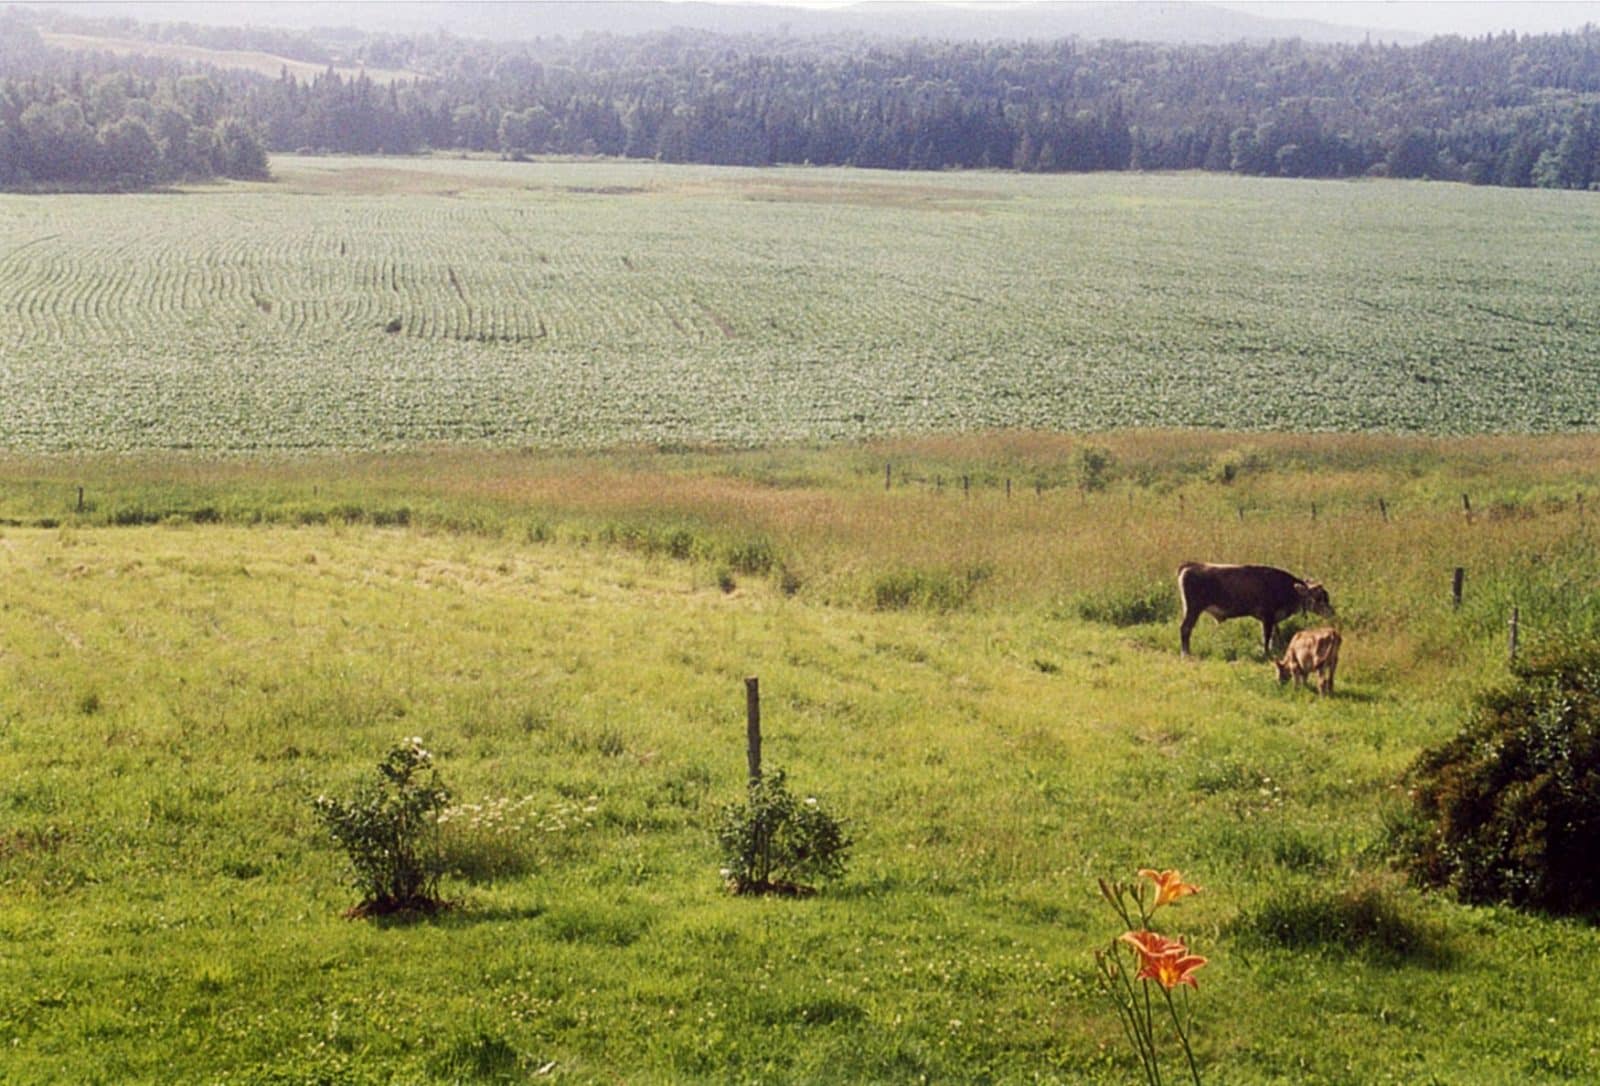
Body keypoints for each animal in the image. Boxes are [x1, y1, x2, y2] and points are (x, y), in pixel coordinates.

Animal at [1184, 566, 1331, 658]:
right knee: (1185, 629)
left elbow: (1274, 635)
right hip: (1193, 610)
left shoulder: (1272, 620)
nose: (1331, 613)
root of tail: (1188, 567)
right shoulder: (1268, 617)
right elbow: (1266, 636)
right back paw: (1186, 653)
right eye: (1319, 598)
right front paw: (1266, 653)